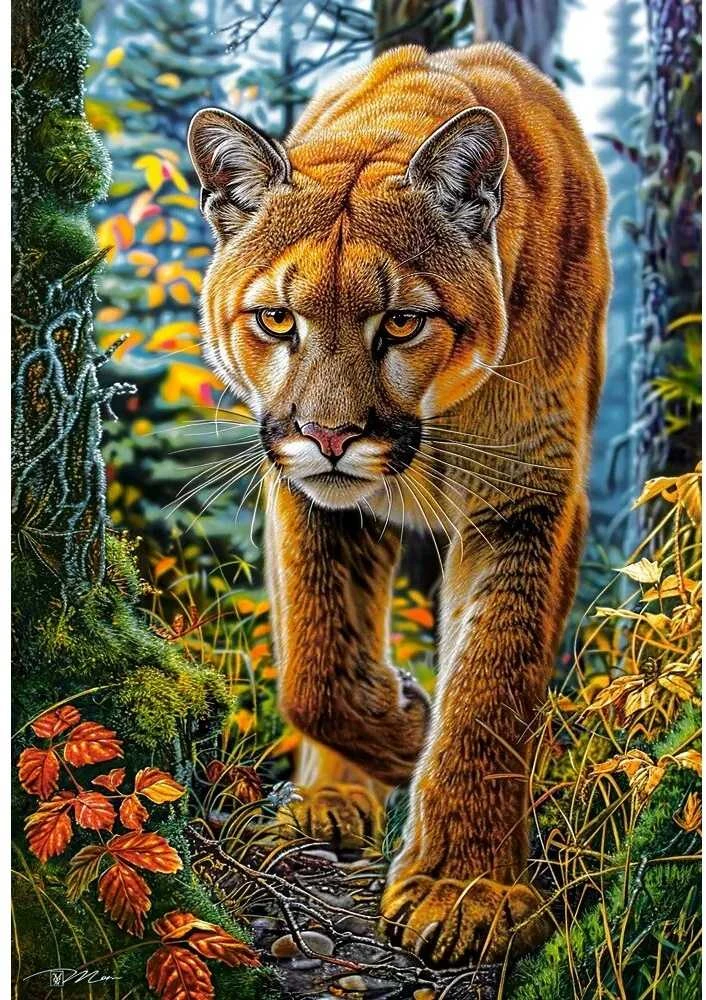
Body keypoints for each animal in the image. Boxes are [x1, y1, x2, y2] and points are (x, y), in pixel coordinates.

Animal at [188, 41, 610, 966]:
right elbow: (315, 664)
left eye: (404, 323)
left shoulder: (528, 496)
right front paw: (406, 728)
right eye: (278, 319)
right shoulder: (306, 494)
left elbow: (491, 686)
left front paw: (465, 889)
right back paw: (327, 803)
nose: (330, 435)